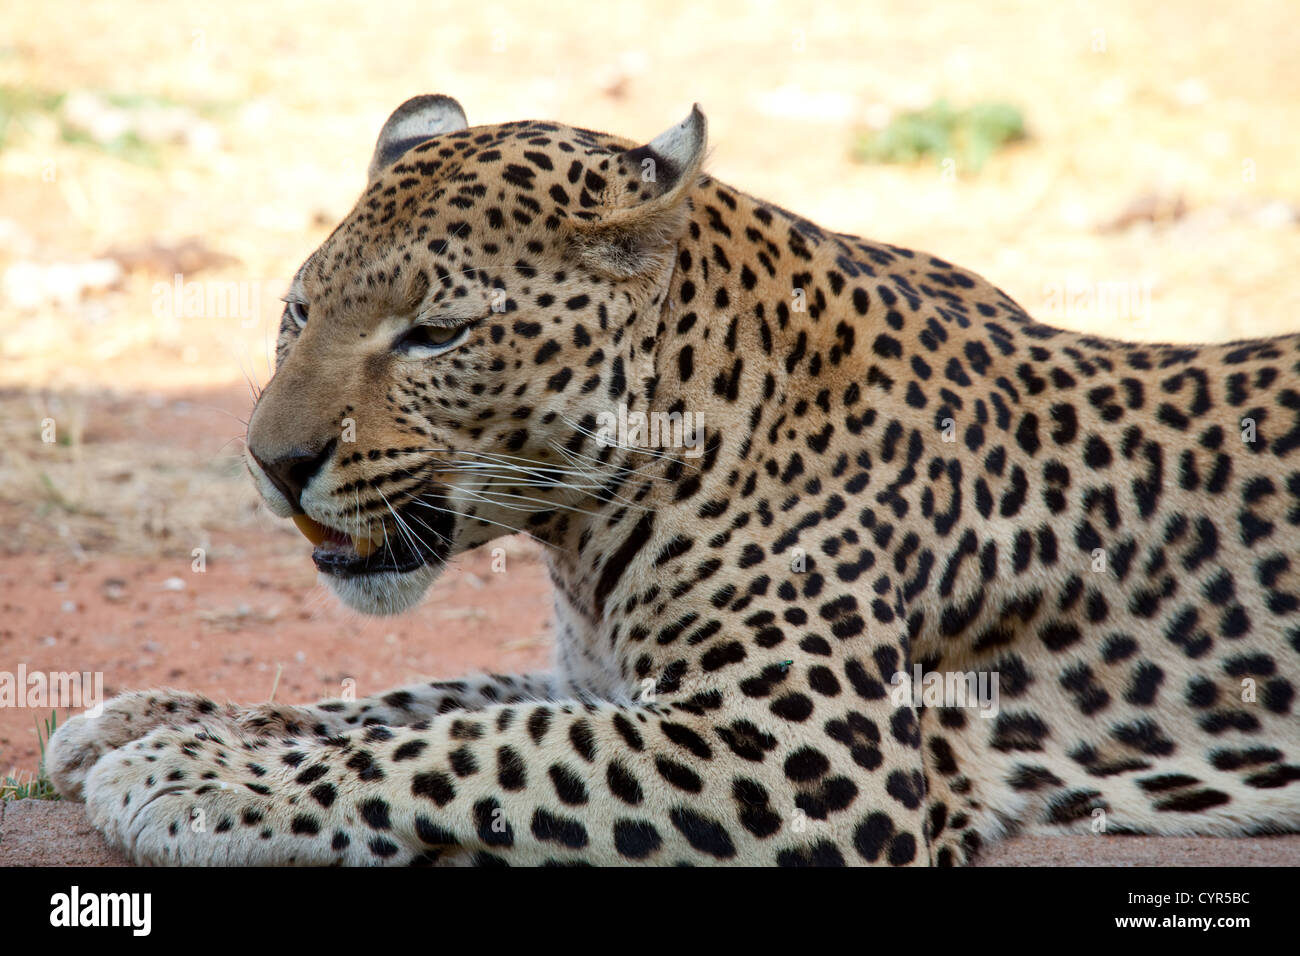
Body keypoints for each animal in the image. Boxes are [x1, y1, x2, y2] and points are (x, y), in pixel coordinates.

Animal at [47, 94, 1300, 866]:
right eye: (297, 311)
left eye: (436, 334)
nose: (273, 462)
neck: (581, 526)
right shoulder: (605, 679)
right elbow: (413, 697)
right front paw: (146, 717)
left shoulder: (804, 749)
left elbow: (473, 742)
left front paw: (191, 773)